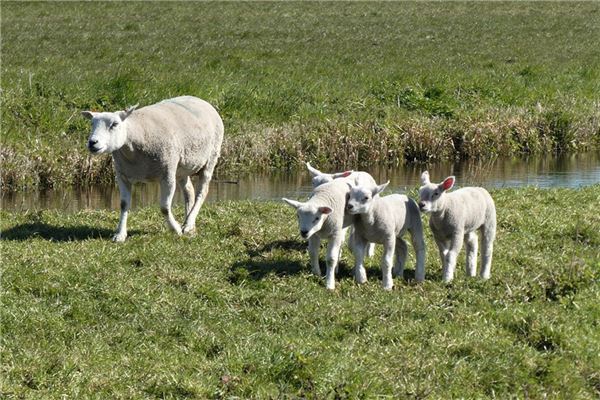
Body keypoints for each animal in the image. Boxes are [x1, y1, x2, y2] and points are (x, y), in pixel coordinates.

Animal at [82, 95, 225, 242]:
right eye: (92, 124)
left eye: (115, 124)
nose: (92, 143)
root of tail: (200, 100)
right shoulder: (122, 175)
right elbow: (123, 204)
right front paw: (120, 234)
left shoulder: (167, 173)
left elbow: (164, 208)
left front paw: (175, 229)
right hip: (181, 167)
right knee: (189, 191)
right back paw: (190, 225)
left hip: (211, 157)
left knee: (202, 192)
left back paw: (188, 223)